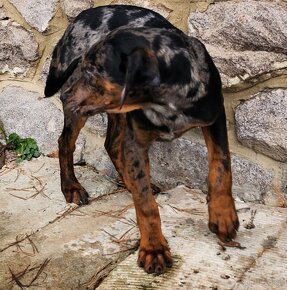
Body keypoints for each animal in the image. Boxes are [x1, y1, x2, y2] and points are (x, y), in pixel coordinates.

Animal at [44, 4, 238, 274]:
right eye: (83, 65)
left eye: (93, 69)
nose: (65, 95)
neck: (167, 102)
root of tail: (81, 16)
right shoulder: (136, 141)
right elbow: (145, 204)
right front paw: (153, 249)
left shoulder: (215, 115)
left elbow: (221, 165)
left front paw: (223, 215)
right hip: (87, 114)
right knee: (66, 144)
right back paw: (71, 187)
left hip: (113, 112)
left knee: (111, 144)